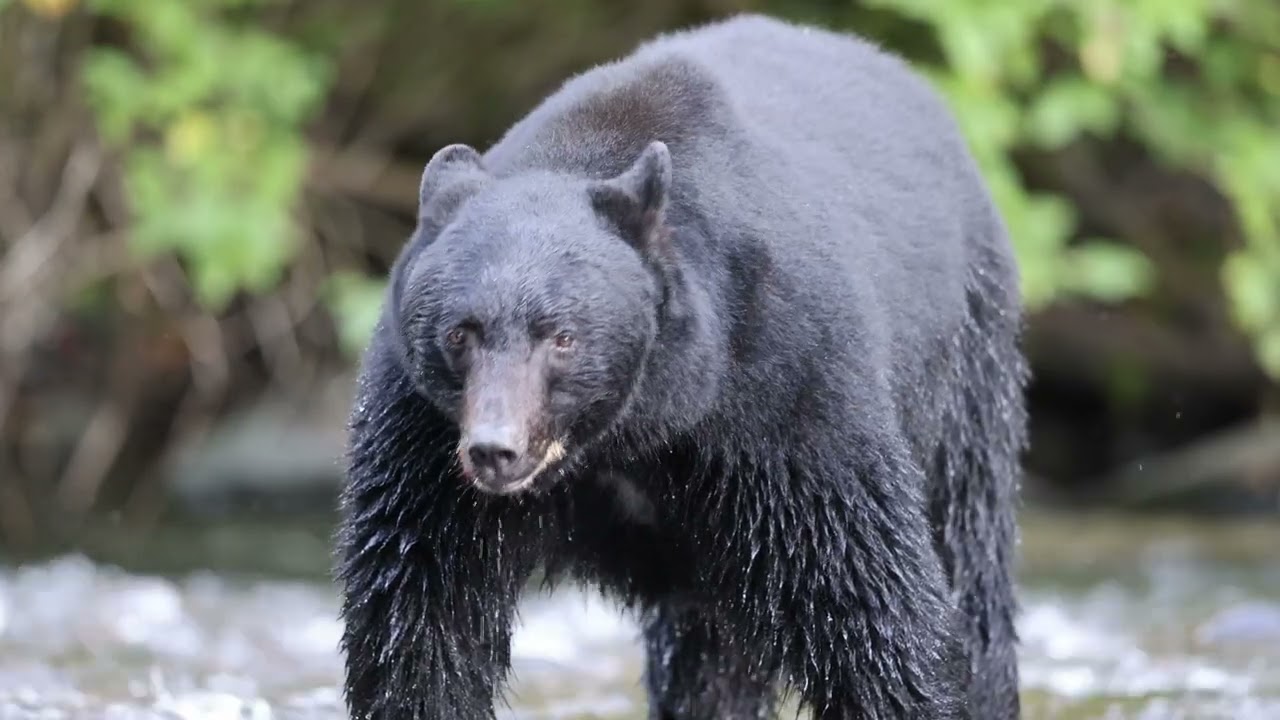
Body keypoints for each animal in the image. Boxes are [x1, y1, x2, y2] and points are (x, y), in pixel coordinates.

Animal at [335, 12, 1028, 720]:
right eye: (459, 333)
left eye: (562, 337)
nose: (493, 449)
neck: (636, 428)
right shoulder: (424, 443)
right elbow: (423, 606)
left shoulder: (788, 392)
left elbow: (868, 601)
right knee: (709, 656)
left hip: (963, 365)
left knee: (967, 547)